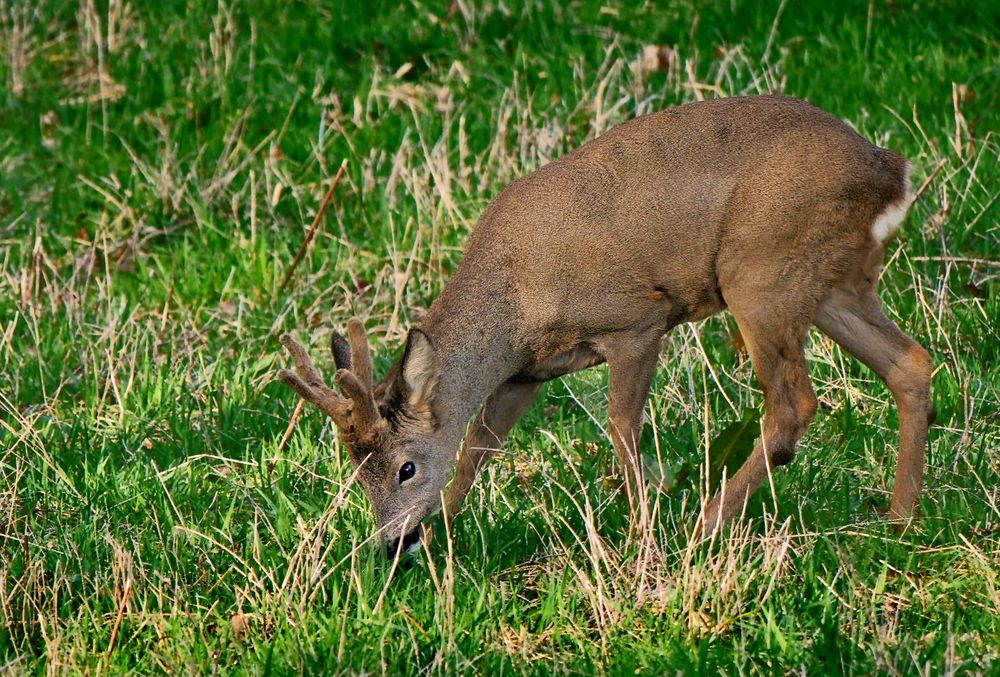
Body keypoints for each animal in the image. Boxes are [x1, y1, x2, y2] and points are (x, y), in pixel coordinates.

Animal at [278, 93, 932, 556]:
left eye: (406, 468)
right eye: (356, 470)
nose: (393, 543)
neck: (514, 299)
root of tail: (889, 170)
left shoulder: (637, 322)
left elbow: (622, 427)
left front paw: (642, 534)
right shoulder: (527, 372)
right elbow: (477, 446)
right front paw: (445, 535)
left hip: (760, 271)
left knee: (793, 402)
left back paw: (706, 526)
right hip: (832, 283)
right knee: (911, 362)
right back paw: (899, 520)